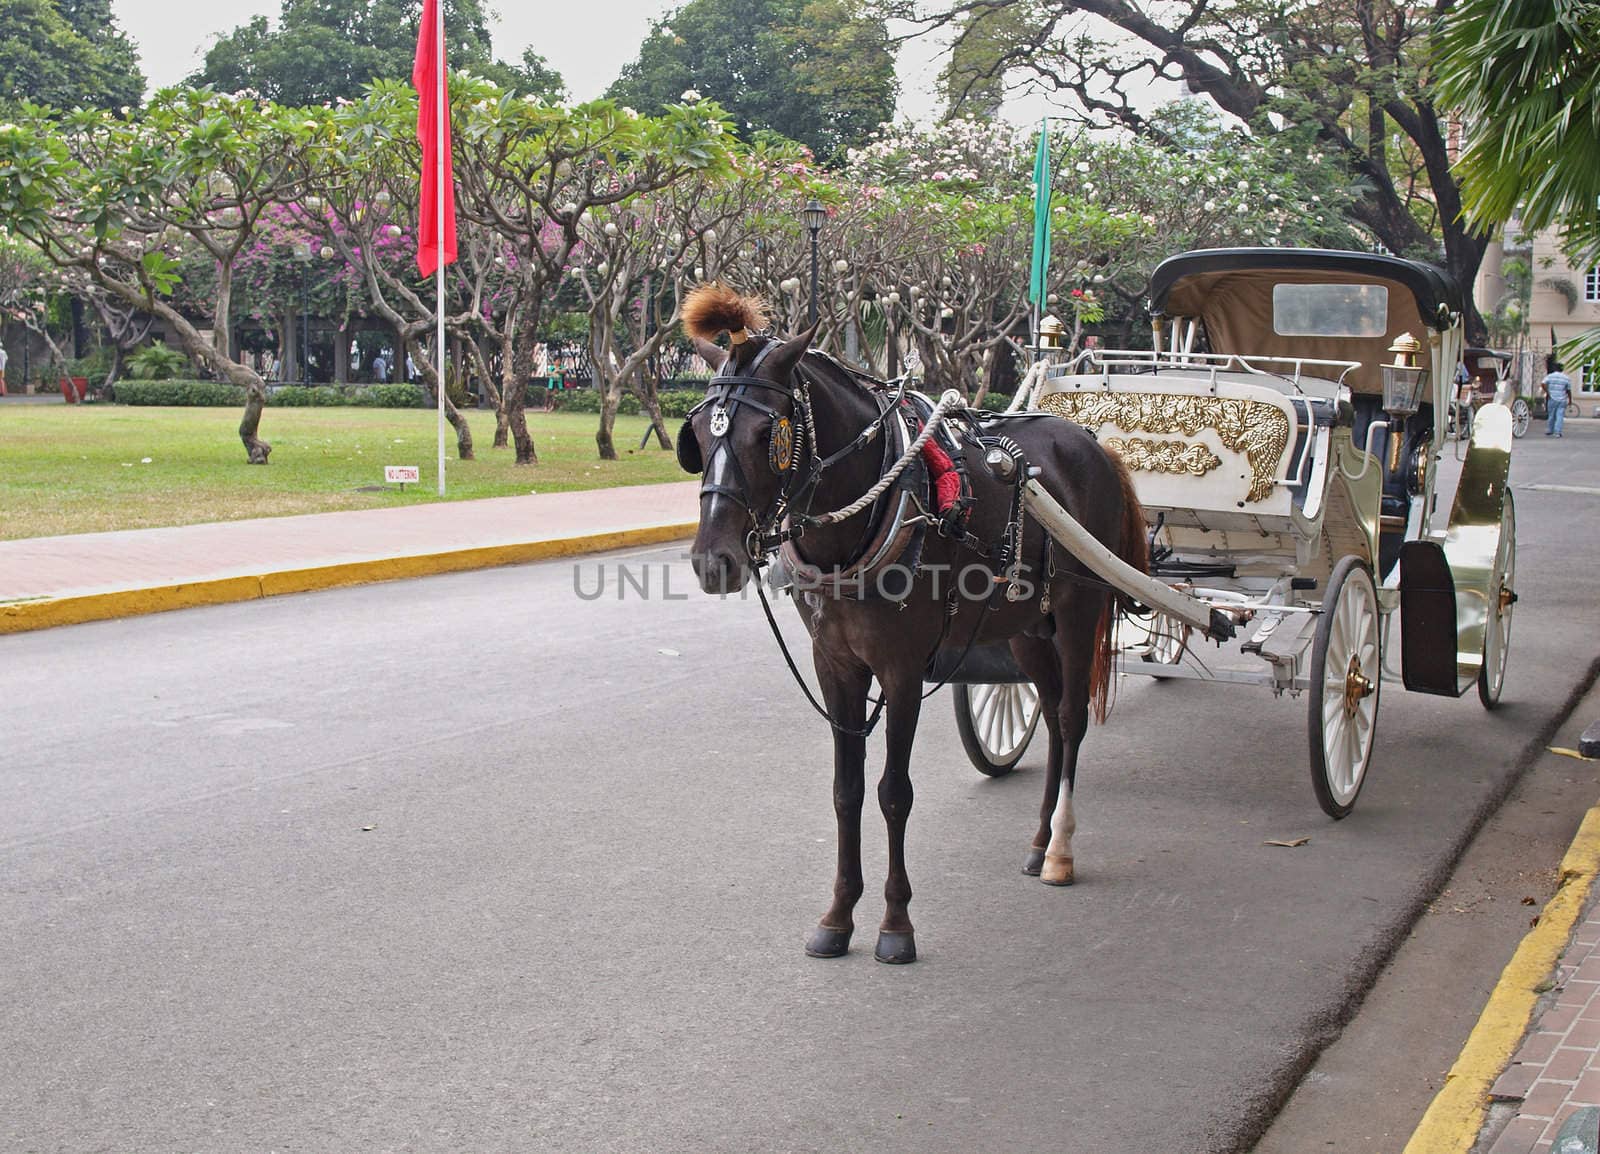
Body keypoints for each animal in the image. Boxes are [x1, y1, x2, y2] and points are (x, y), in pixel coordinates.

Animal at [681, 283, 1145, 960]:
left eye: (769, 431)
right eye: (696, 431)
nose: (713, 560)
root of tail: (1091, 441)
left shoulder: (902, 670)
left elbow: (893, 793)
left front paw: (896, 923)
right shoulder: (835, 666)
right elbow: (847, 790)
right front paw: (838, 914)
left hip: (1079, 611)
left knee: (1070, 719)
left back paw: (1060, 849)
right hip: (1027, 630)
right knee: (1054, 712)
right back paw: (1037, 844)